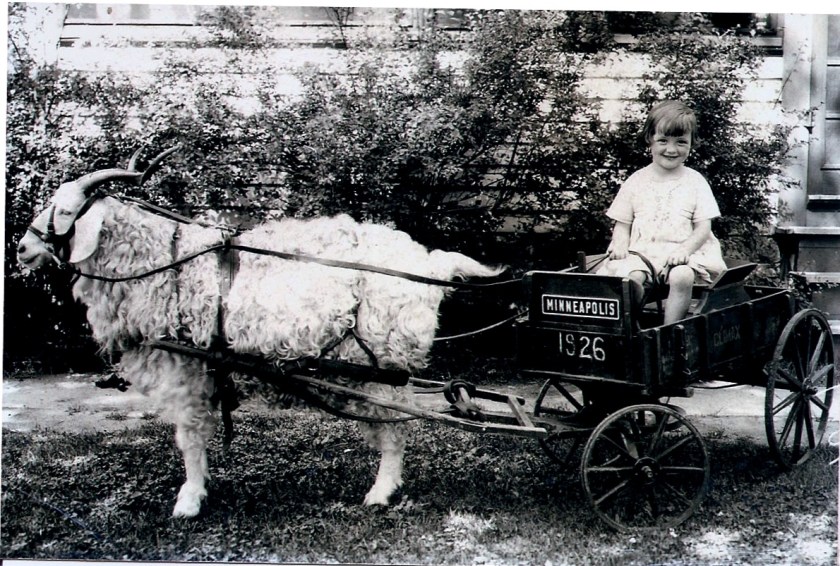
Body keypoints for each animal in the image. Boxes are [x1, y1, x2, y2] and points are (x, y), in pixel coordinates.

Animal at [16, 149, 504, 517]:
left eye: (65, 211)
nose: (22, 248)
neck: (161, 262)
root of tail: (430, 265)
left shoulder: (186, 368)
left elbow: (189, 436)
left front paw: (189, 500)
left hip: (384, 363)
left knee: (396, 430)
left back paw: (380, 493)